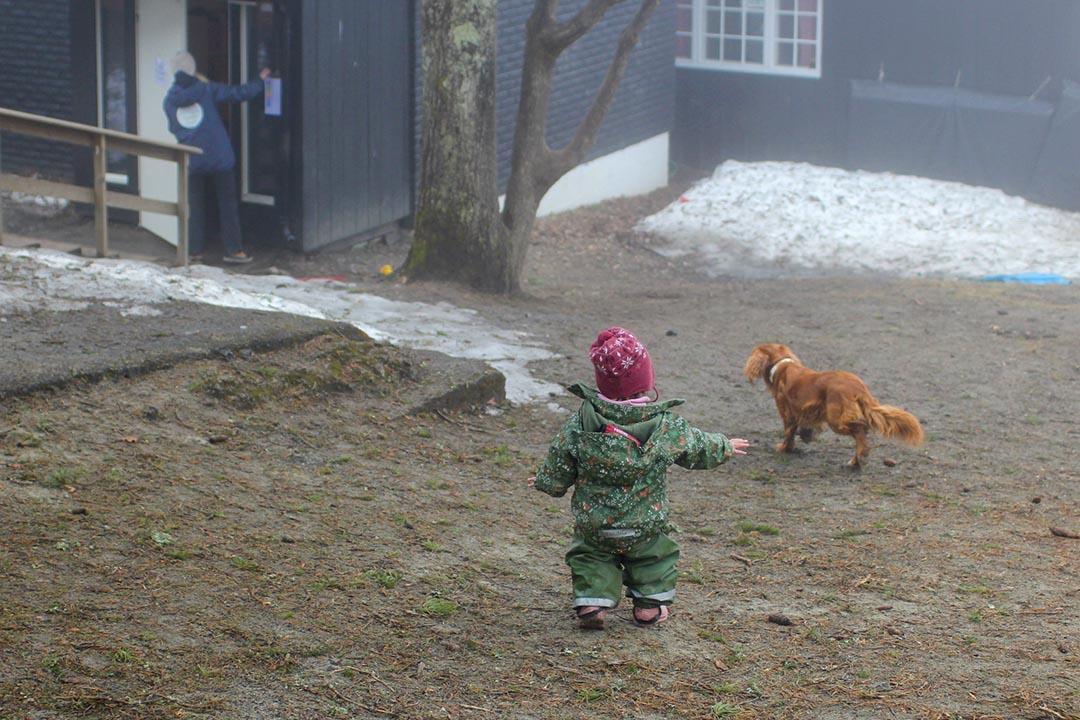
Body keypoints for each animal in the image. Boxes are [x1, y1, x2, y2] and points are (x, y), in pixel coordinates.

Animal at [743, 345, 928, 470]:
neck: (782, 365)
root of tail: (858, 387)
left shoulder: (787, 412)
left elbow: (788, 433)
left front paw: (783, 448)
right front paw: (804, 437)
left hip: (836, 420)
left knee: (860, 430)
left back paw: (859, 457)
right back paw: (856, 460)